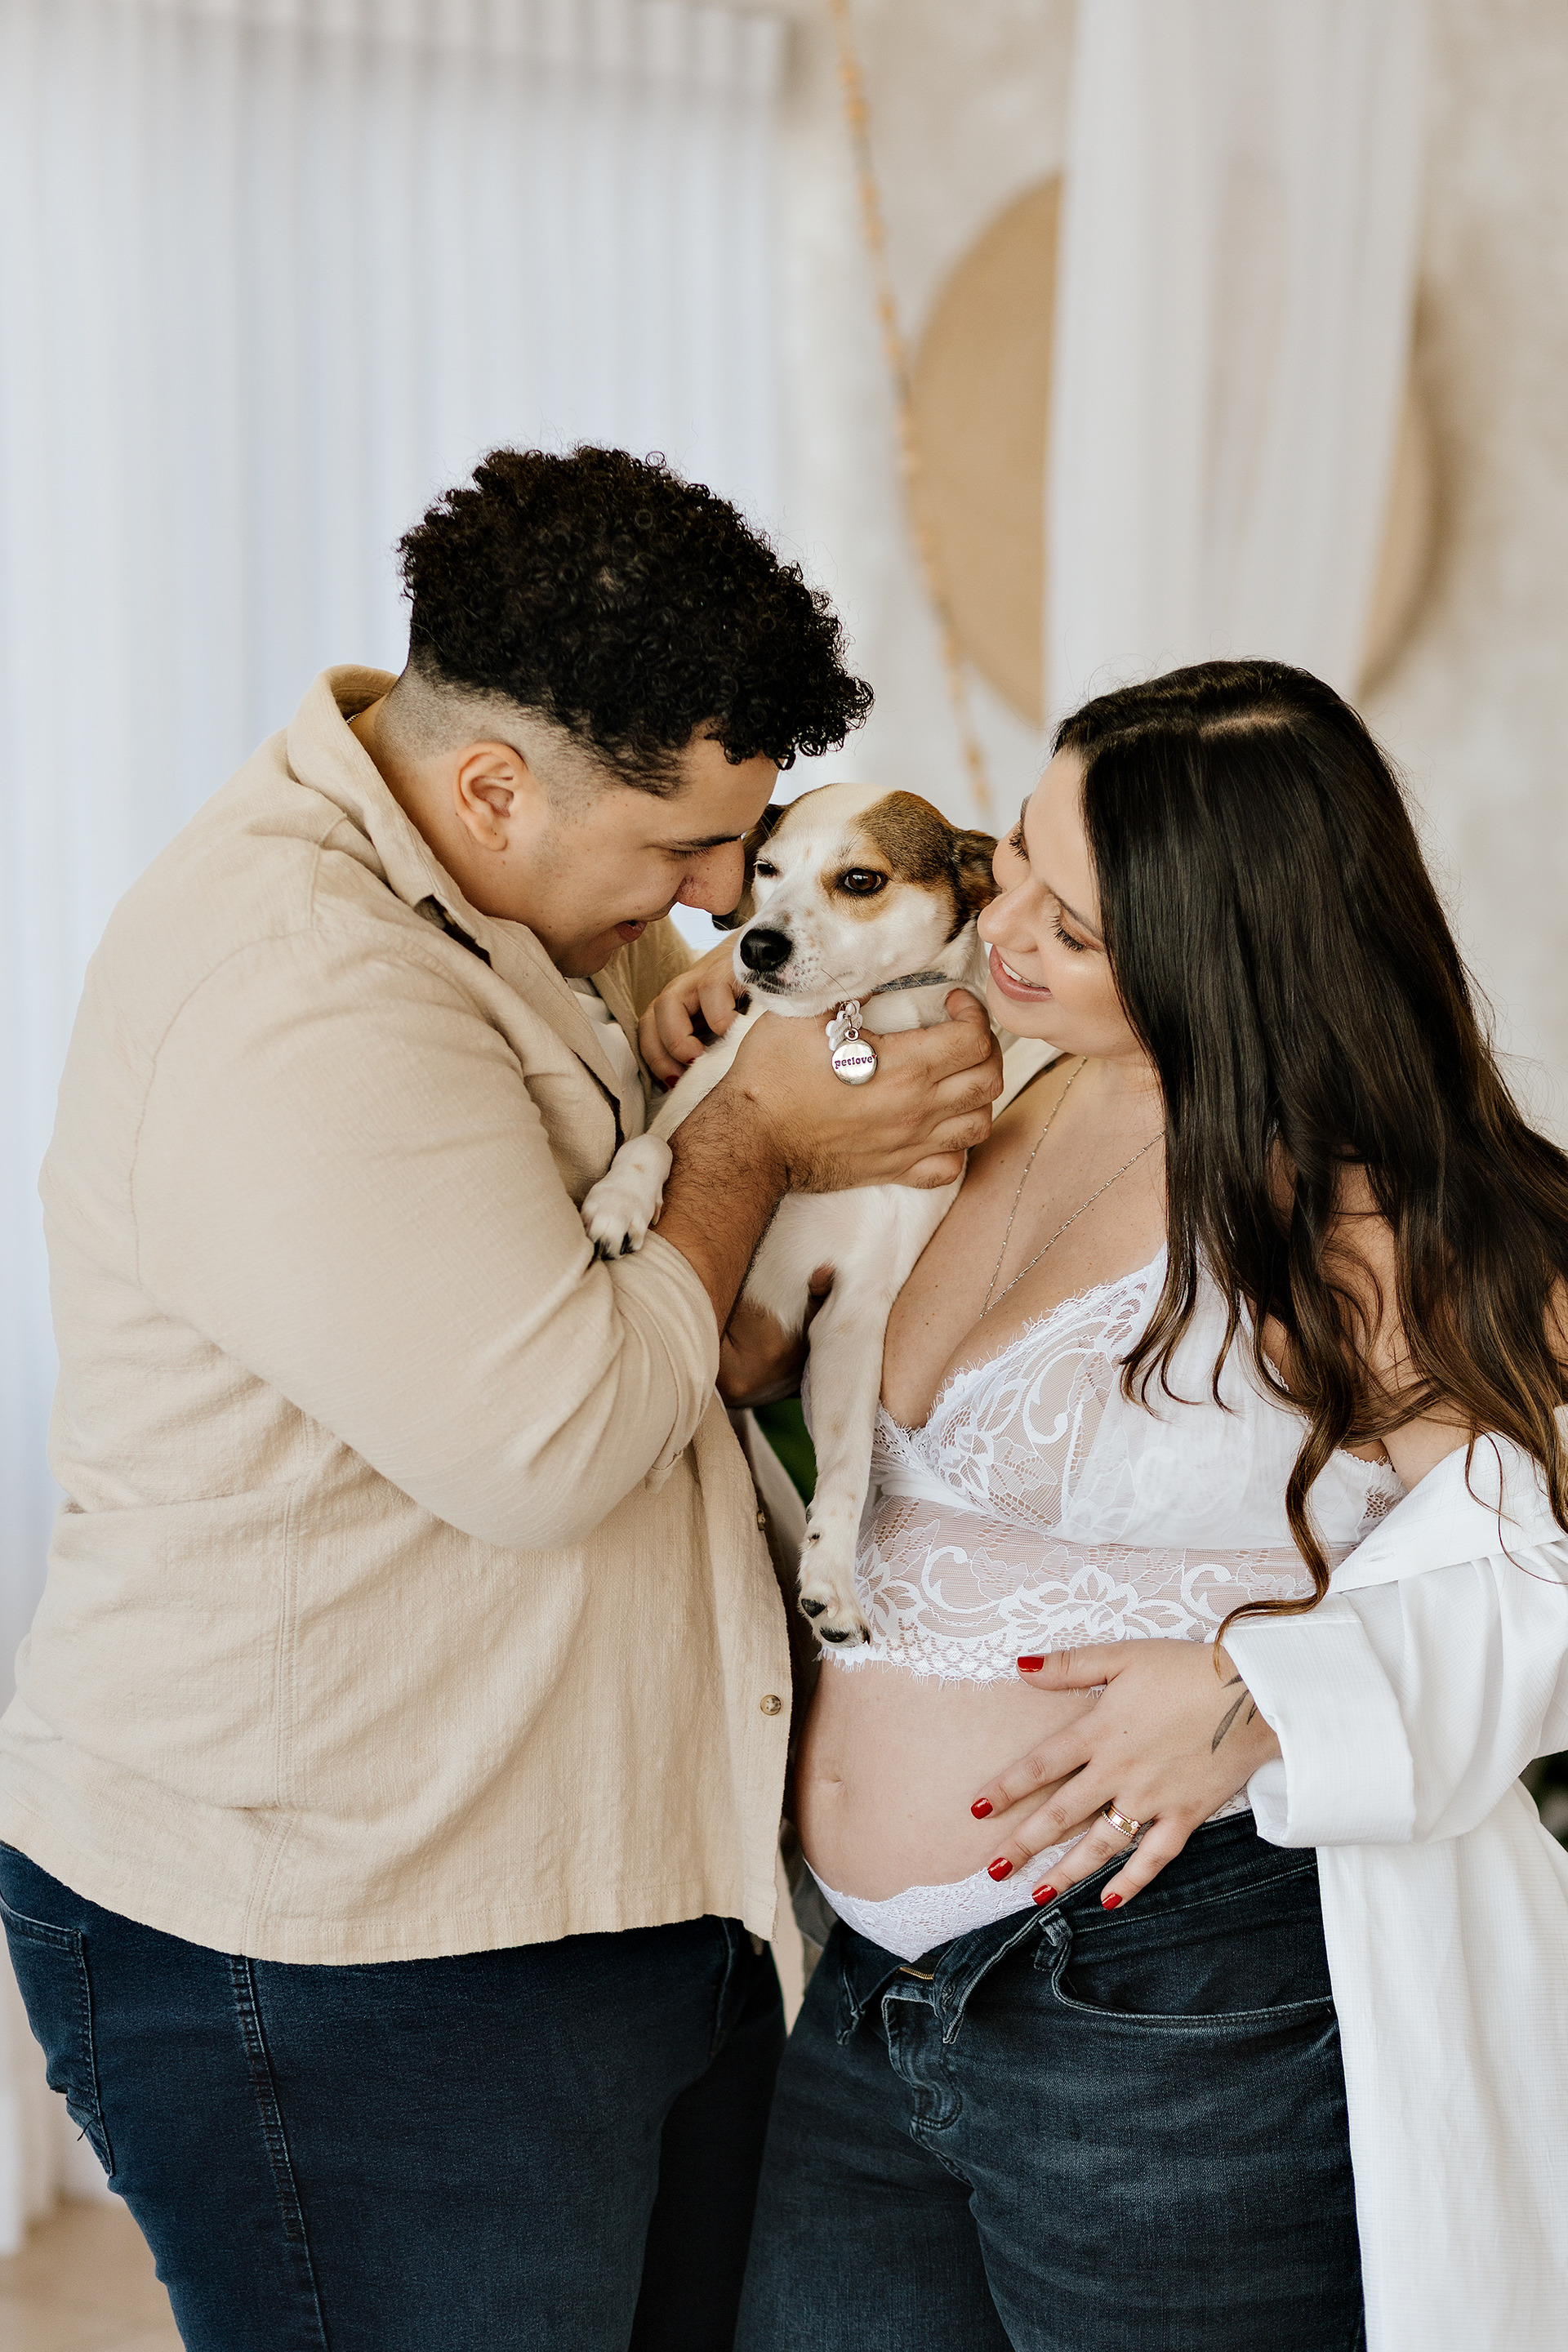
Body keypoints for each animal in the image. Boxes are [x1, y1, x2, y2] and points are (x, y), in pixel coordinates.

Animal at [579, 782, 998, 1645]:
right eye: (766, 868)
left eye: (862, 880)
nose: (756, 945)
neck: (851, 1023)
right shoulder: (698, 1106)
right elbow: (657, 1142)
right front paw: (621, 1202)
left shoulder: (853, 1316)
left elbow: (844, 1469)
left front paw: (832, 1576)